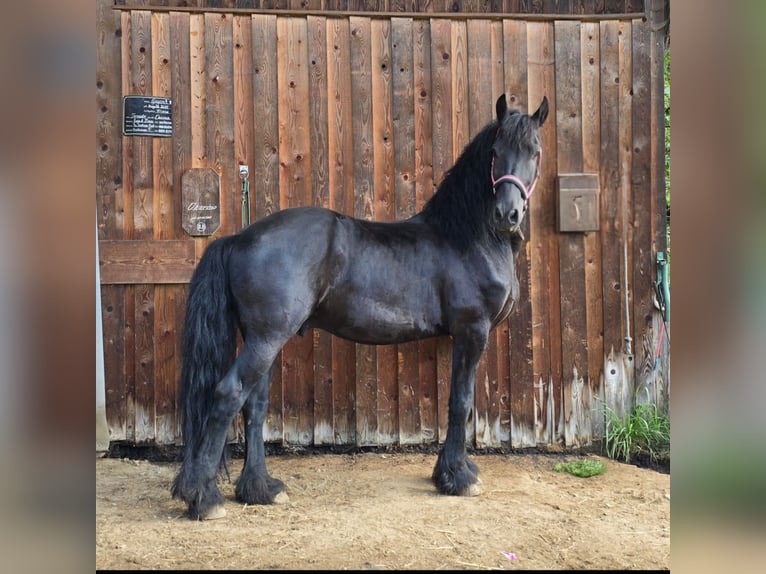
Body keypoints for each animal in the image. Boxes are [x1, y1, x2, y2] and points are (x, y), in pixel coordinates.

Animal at [171, 93, 549, 519]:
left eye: (535, 151)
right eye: (496, 153)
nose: (507, 214)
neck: (466, 236)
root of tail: (239, 238)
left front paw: (454, 471)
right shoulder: (472, 331)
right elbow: (460, 401)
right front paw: (458, 477)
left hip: (262, 339)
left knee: (254, 405)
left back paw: (260, 488)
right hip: (266, 339)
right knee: (228, 395)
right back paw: (204, 498)